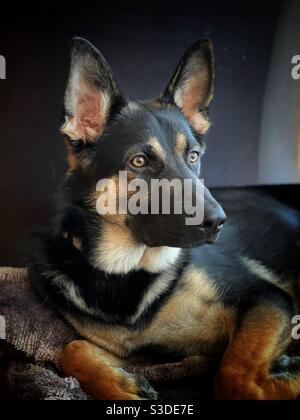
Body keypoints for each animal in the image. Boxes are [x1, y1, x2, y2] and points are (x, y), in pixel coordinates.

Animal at [28, 38, 300, 400]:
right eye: (139, 161)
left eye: (193, 156)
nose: (218, 221)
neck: (128, 272)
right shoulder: (129, 350)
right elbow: (70, 350)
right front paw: (121, 389)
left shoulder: (268, 299)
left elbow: (234, 375)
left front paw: (287, 375)